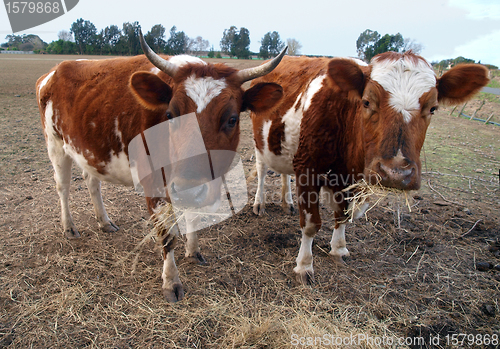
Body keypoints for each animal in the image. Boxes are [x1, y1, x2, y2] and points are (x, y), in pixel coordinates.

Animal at [37, 31, 288, 300]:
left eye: (231, 119)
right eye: (170, 115)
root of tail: (55, 69)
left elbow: (193, 215)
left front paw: (193, 251)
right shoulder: (154, 185)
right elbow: (166, 236)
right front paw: (171, 281)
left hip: (88, 150)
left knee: (92, 181)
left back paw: (104, 221)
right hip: (55, 145)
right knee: (62, 187)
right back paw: (69, 227)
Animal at [250, 53, 488, 284]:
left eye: (433, 108)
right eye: (366, 102)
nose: (396, 173)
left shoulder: (353, 179)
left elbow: (343, 215)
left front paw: (338, 248)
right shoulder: (308, 169)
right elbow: (311, 224)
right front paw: (304, 266)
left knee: (284, 173)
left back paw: (287, 202)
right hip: (260, 143)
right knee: (262, 170)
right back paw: (259, 204)